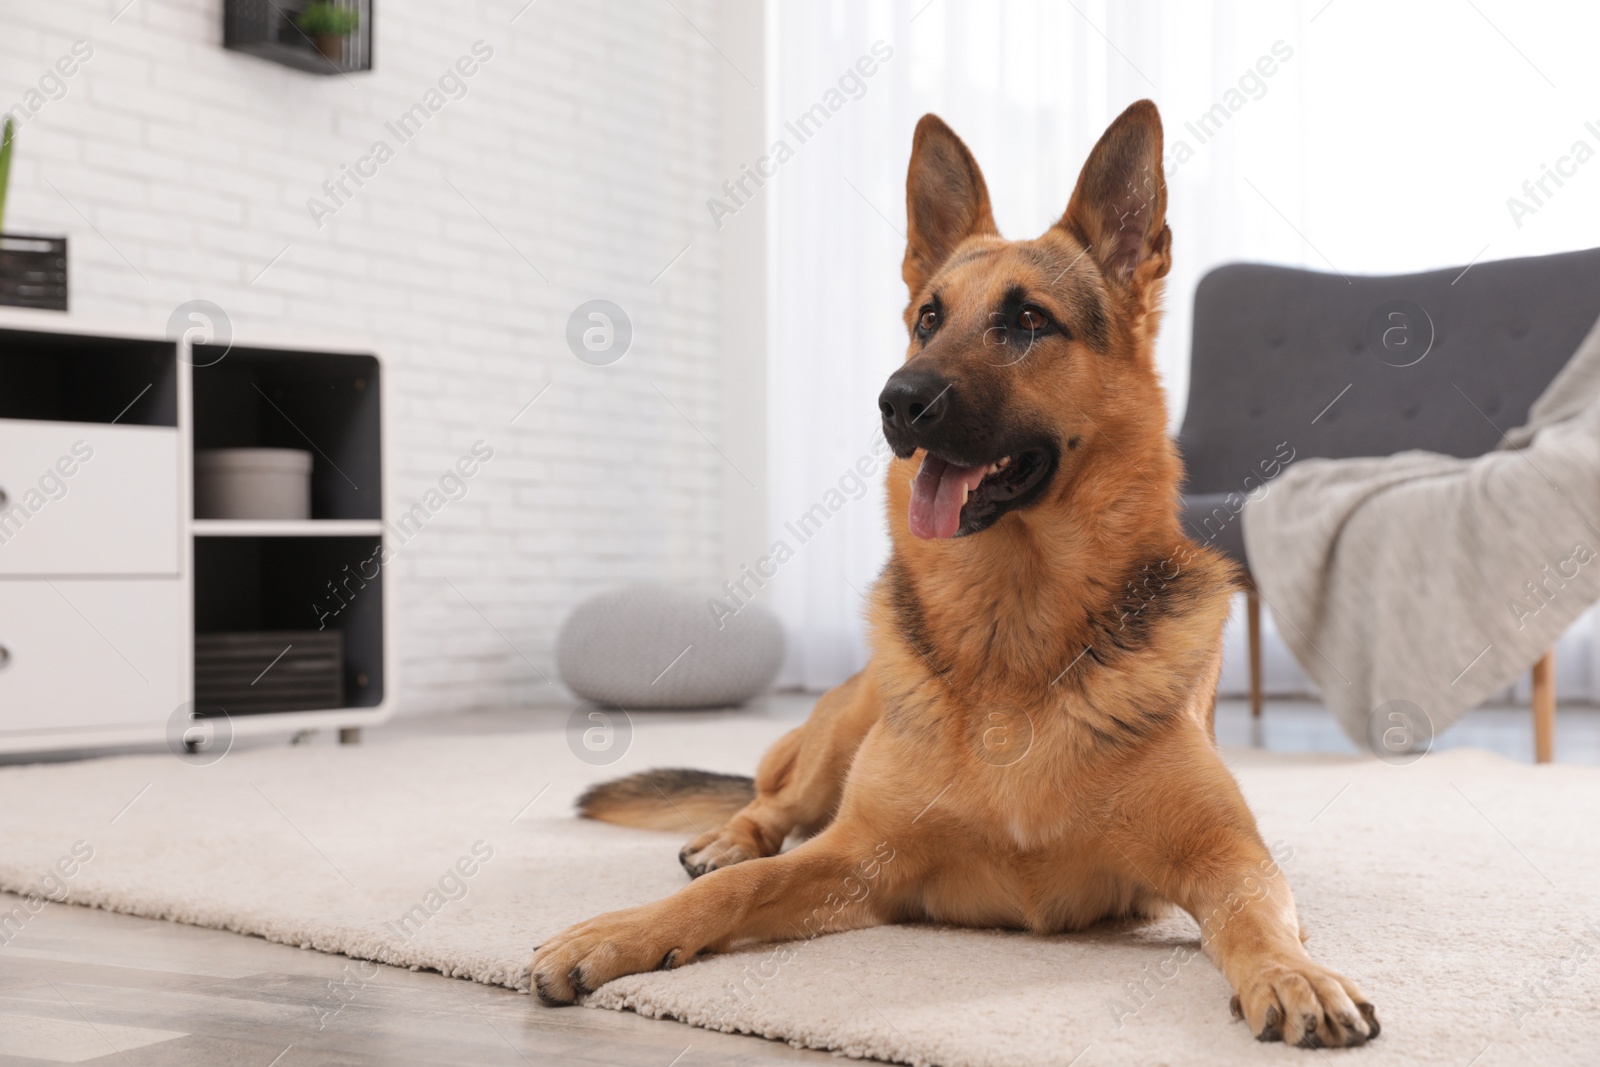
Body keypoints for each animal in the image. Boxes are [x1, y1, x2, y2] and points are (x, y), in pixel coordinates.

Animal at [531, 99, 1382, 1049]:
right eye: (928, 318)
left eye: (1029, 320)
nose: (898, 401)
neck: (1012, 623)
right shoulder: (858, 857)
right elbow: (743, 885)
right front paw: (620, 932)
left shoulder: (1228, 855)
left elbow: (1255, 916)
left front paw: (1294, 973)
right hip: (845, 727)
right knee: (772, 805)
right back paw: (726, 835)